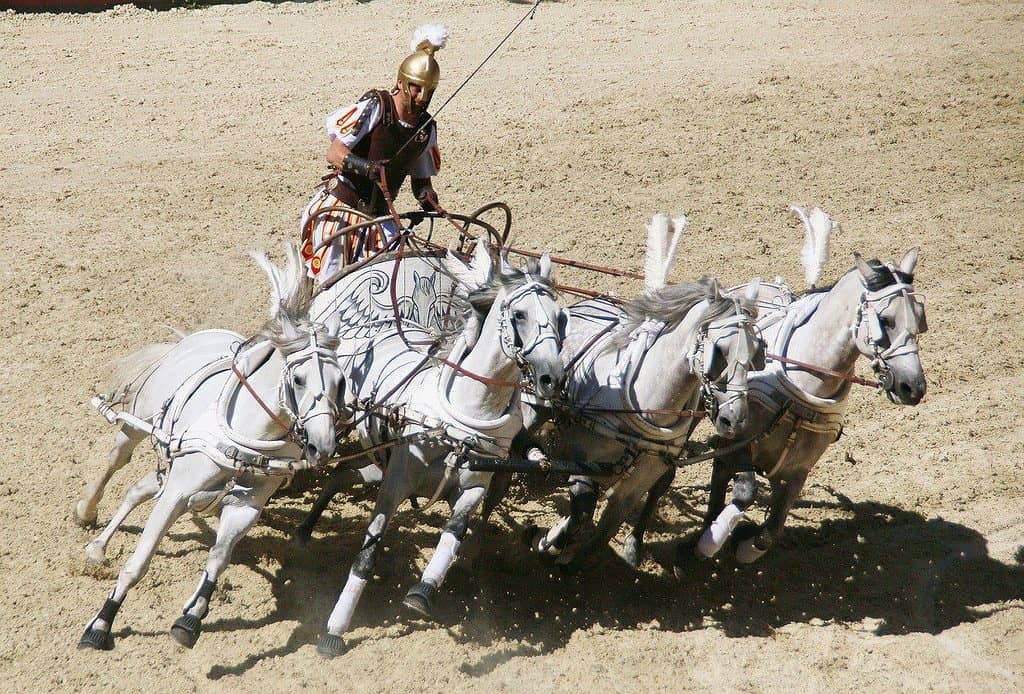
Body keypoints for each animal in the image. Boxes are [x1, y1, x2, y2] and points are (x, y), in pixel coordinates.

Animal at [75, 244, 346, 651]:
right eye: (298, 379)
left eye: (341, 381)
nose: (323, 445)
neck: (246, 433)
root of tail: (190, 340)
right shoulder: (177, 494)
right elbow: (139, 562)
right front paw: (100, 624)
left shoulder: (246, 504)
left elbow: (218, 558)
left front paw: (190, 620)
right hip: (135, 428)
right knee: (115, 462)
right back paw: (87, 514)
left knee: (138, 488)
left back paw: (98, 546)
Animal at [311, 243, 569, 659]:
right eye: (519, 314)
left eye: (561, 317)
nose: (552, 378)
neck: (463, 418)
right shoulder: (396, 482)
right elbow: (368, 553)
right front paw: (334, 630)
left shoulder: (474, 485)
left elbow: (454, 532)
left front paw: (423, 591)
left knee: (344, 473)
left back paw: (307, 528)